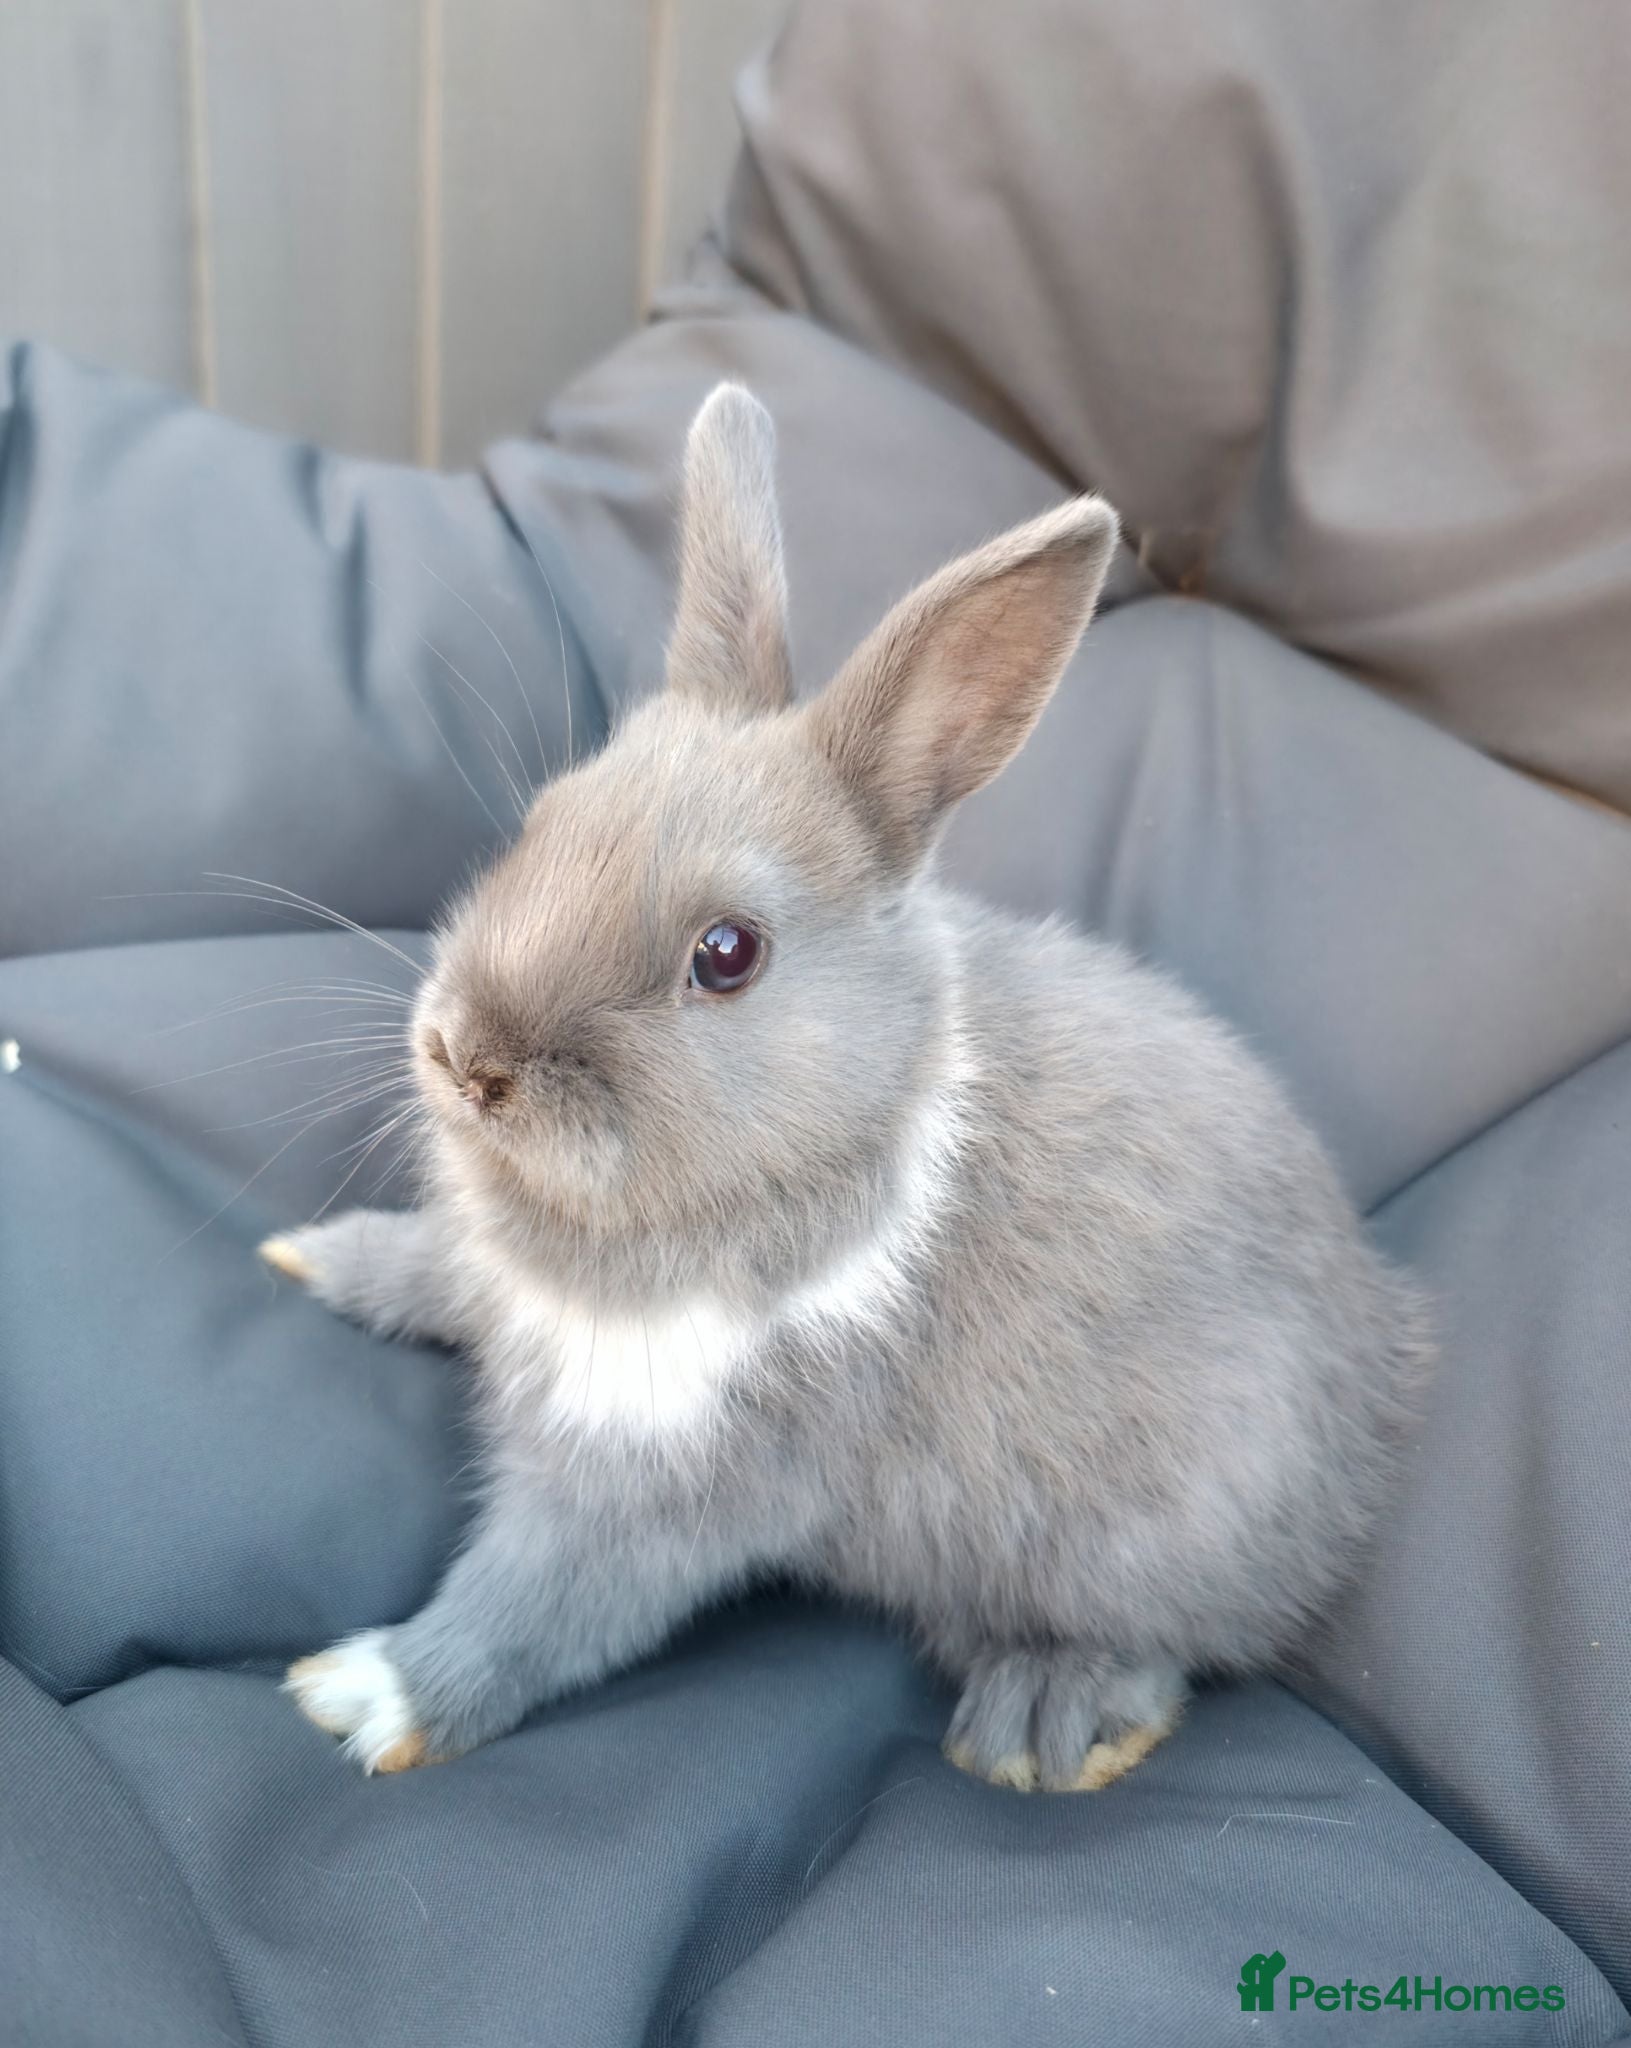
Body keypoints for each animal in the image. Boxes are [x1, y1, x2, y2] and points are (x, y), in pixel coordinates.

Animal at [263, 382, 1429, 1791]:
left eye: (727, 953)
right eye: (544, 821)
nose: (466, 1057)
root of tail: (1381, 1386)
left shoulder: (680, 1474)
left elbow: (540, 1601)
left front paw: (361, 1694)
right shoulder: (503, 1291)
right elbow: (429, 1267)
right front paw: (312, 1253)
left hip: (1157, 1528)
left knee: (1170, 1647)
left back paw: (1041, 1729)